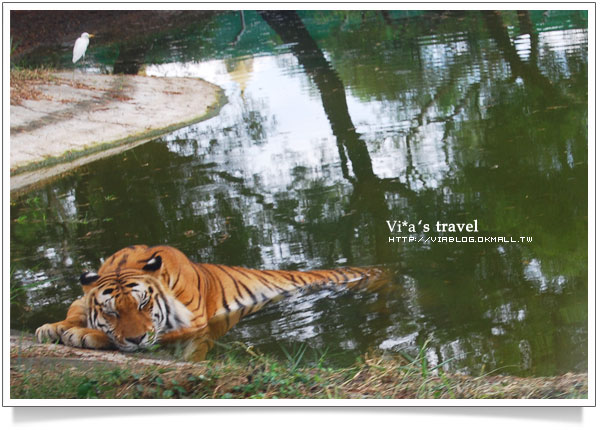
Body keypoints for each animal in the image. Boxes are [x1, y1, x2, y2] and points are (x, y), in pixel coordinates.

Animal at [36, 245, 384, 352]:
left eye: (143, 305)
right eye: (112, 313)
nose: (135, 340)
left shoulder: (193, 326)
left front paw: (82, 334)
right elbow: (75, 310)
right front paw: (54, 327)